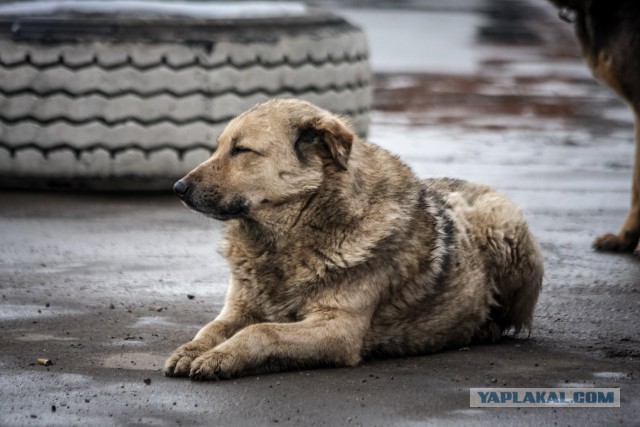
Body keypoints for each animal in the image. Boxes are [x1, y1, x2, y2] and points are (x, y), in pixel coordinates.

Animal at [165, 100, 544, 382]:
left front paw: (222, 357)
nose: (178, 189)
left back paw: (483, 328)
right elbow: (212, 328)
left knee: (508, 318)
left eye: (242, 150)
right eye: (218, 148)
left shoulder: (338, 329)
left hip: (504, 228)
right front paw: (193, 350)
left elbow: (262, 331)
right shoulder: (239, 308)